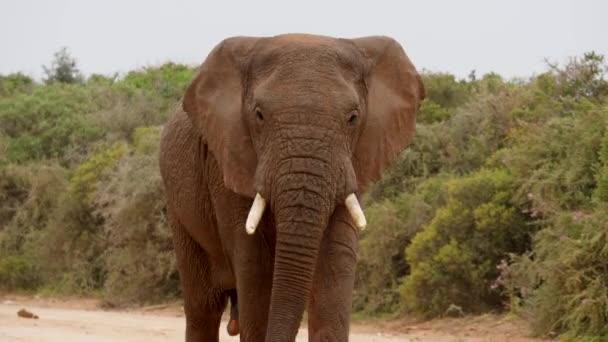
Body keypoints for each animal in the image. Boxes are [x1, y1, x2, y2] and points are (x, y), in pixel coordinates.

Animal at [159, 32, 426, 342]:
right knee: (203, 308)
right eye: (259, 115)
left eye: (353, 118)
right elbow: (255, 269)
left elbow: (334, 262)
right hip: (179, 211)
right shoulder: (225, 159)